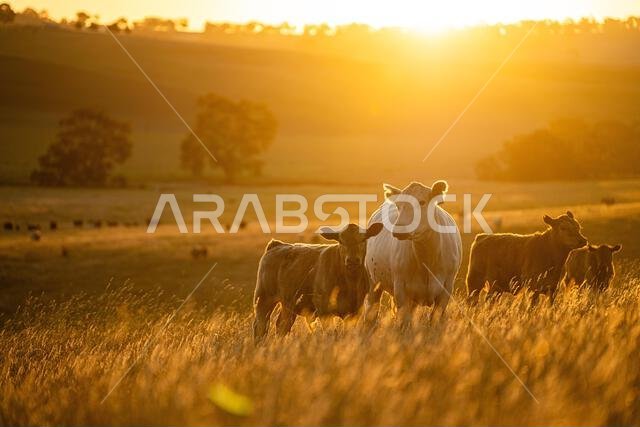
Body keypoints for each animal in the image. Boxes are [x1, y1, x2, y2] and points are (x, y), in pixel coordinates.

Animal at [253, 222, 383, 343]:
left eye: (363, 239)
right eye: (341, 241)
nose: (352, 260)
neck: (350, 282)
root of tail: (277, 245)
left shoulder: (354, 311)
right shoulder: (323, 310)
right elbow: (331, 333)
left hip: (289, 304)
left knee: (282, 326)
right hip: (264, 298)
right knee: (260, 326)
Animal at [364, 180, 463, 324]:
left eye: (422, 202)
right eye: (398, 205)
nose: (399, 230)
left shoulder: (446, 290)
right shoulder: (401, 290)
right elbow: (404, 321)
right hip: (372, 282)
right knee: (371, 312)